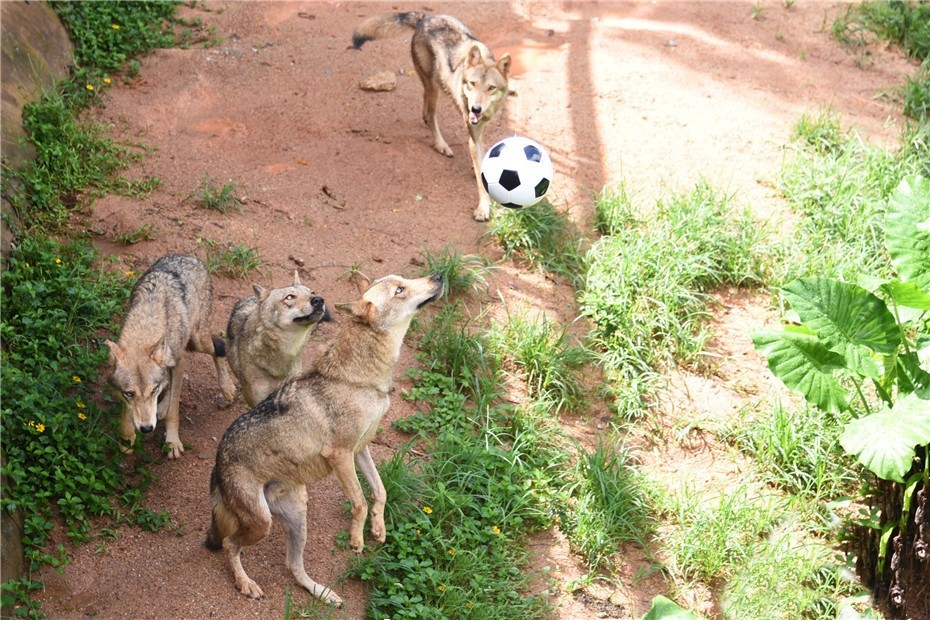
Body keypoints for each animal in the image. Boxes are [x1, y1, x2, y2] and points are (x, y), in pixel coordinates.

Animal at [105, 253, 237, 460]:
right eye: (129, 393)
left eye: (152, 391)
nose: (146, 428)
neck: (146, 325)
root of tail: (189, 256)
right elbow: (128, 415)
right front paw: (127, 439)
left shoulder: (179, 362)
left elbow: (173, 410)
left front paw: (172, 442)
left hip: (198, 340)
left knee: (220, 346)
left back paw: (227, 388)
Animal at [354, 10, 516, 222]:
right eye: (472, 84)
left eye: (491, 88)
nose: (475, 109)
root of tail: (424, 18)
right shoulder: (472, 136)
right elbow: (481, 181)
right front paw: (483, 209)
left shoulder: (480, 132)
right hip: (433, 87)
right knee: (429, 116)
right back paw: (441, 145)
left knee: (425, 114)